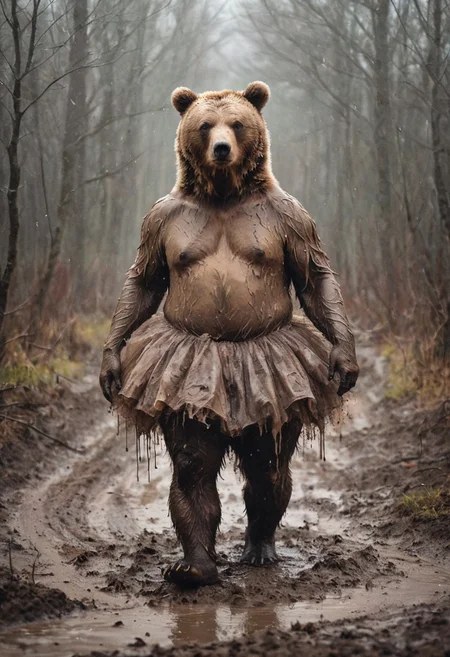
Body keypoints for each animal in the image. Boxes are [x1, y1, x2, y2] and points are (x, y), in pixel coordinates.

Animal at [100, 82, 359, 587]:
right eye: (205, 125)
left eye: (236, 124)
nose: (221, 148)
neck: (223, 195)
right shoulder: (161, 220)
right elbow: (144, 279)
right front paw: (193, 563)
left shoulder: (289, 216)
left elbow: (314, 274)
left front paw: (344, 358)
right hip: (186, 374)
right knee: (196, 464)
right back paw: (195, 563)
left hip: (278, 385)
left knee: (266, 467)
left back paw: (260, 547)